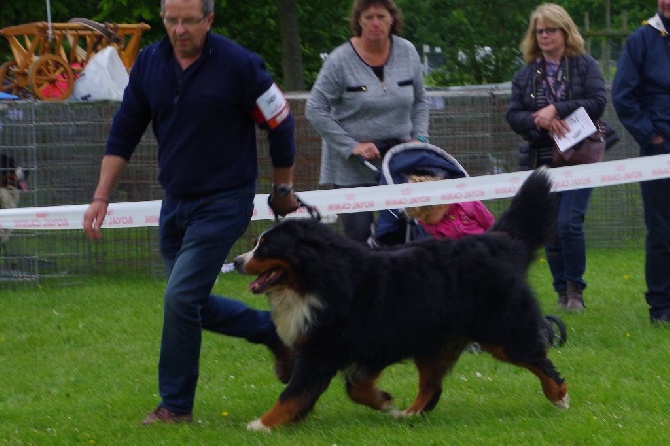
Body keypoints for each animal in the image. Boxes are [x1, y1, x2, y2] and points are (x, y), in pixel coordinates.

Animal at [234, 168, 568, 432]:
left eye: (265, 247)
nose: (237, 261)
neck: (316, 279)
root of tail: (498, 242)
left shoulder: (325, 350)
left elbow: (294, 394)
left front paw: (262, 424)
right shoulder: (367, 347)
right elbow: (354, 387)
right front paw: (384, 401)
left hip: (501, 331)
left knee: (538, 359)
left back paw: (559, 396)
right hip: (434, 341)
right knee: (431, 385)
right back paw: (410, 414)